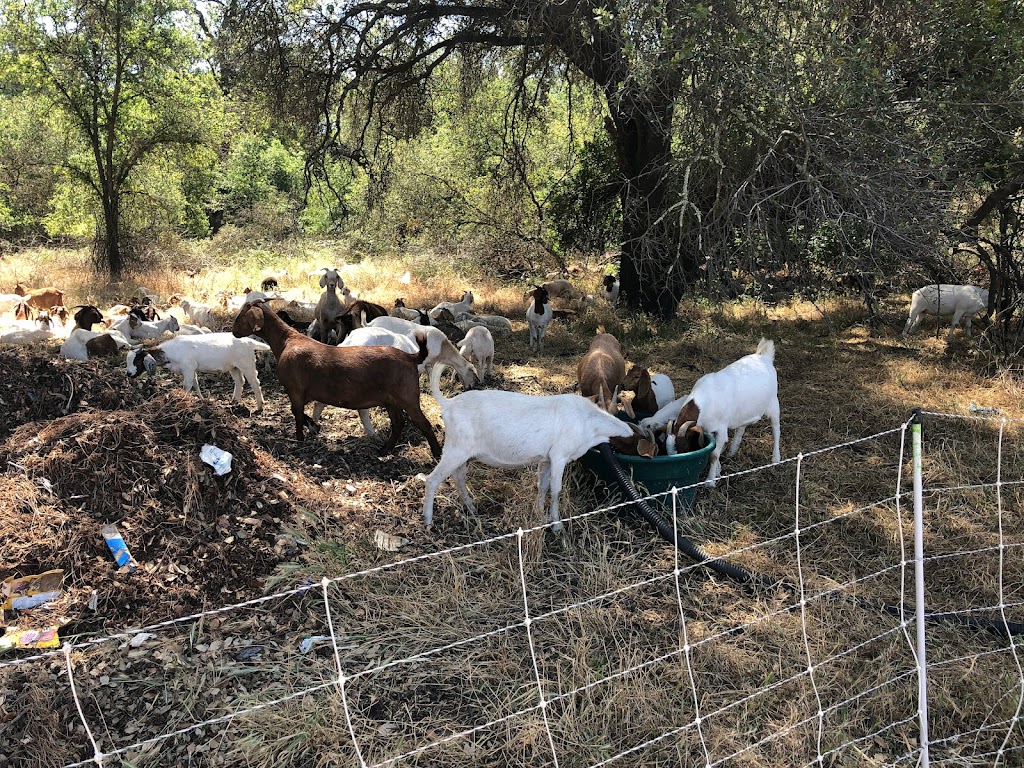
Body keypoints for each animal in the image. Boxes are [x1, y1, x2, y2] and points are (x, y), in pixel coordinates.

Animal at [126, 333, 268, 411]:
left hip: (247, 364)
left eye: (137, 360)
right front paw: (201, 400)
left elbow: (187, 386)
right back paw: (234, 402)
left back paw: (260, 406)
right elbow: (196, 384)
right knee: (240, 381)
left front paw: (182, 400)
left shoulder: (188, 368)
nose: (128, 374)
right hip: (234, 366)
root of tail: (249, 341)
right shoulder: (191, 369)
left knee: (255, 383)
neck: (170, 353)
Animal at [232, 299, 440, 456]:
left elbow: (297, 415)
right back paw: (384, 450)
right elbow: (302, 414)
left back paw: (436, 454)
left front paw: (300, 439)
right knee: (398, 423)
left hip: (407, 397)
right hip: (391, 400)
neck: (287, 341)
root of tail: (411, 357)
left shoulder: (295, 390)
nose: (233, 332)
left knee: (423, 423)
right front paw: (314, 427)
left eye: (242, 315)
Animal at [419, 364, 634, 532]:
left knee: (458, 477)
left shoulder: (546, 458)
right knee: (433, 479)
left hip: (463, 452)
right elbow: (556, 490)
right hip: (456, 448)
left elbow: (543, 485)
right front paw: (557, 526)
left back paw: (471, 508)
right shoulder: (559, 455)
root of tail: (448, 404)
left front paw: (540, 514)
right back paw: (428, 521)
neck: (588, 421)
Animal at [638, 337, 782, 487]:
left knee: (776, 430)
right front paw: (718, 471)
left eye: (684, 447)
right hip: (745, 411)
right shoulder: (708, 428)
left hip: (774, 404)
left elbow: (714, 455)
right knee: (741, 429)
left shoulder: (721, 429)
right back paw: (732, 452)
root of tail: (763, 356)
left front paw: (710, 481)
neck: (704, 400)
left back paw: (776, 459)